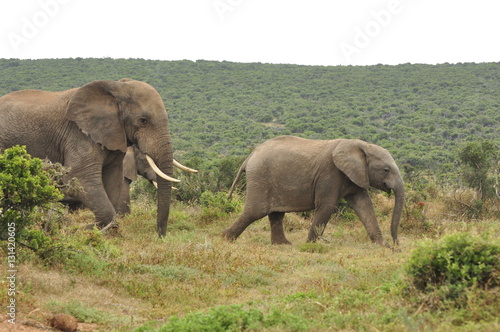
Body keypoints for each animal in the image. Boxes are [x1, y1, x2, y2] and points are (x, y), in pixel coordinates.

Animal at [0, 78, 191, 236]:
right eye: (143, 120)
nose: (160, 235)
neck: (116, 88)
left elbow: (112, 181)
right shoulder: (78, 134)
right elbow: (79, 178)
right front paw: (85, 230)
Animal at [224, 136, 406, 248]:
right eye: (386, 170)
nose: (397, 244)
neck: (360, 145)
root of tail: (249, 156)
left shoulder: (355, 176)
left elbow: (365, 206)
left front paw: (383, 246)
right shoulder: (330, 174)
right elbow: (326, 206)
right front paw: (311, 245)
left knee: (276, 214)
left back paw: (284, 245)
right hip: (261, 177)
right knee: (255, 212)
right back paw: (225, 238)